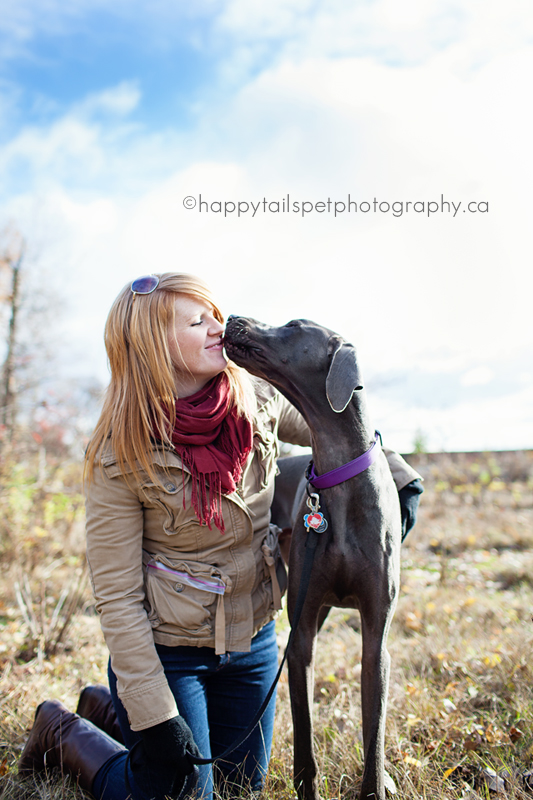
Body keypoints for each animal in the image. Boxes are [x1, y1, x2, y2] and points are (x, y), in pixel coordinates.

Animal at [222, 316, 402, 800]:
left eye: (293, 325)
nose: (232, 319)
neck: (338, 477)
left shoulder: (375, 637)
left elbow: (375, 730)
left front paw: (376, 785)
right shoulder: (302, 631)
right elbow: (304, 729)